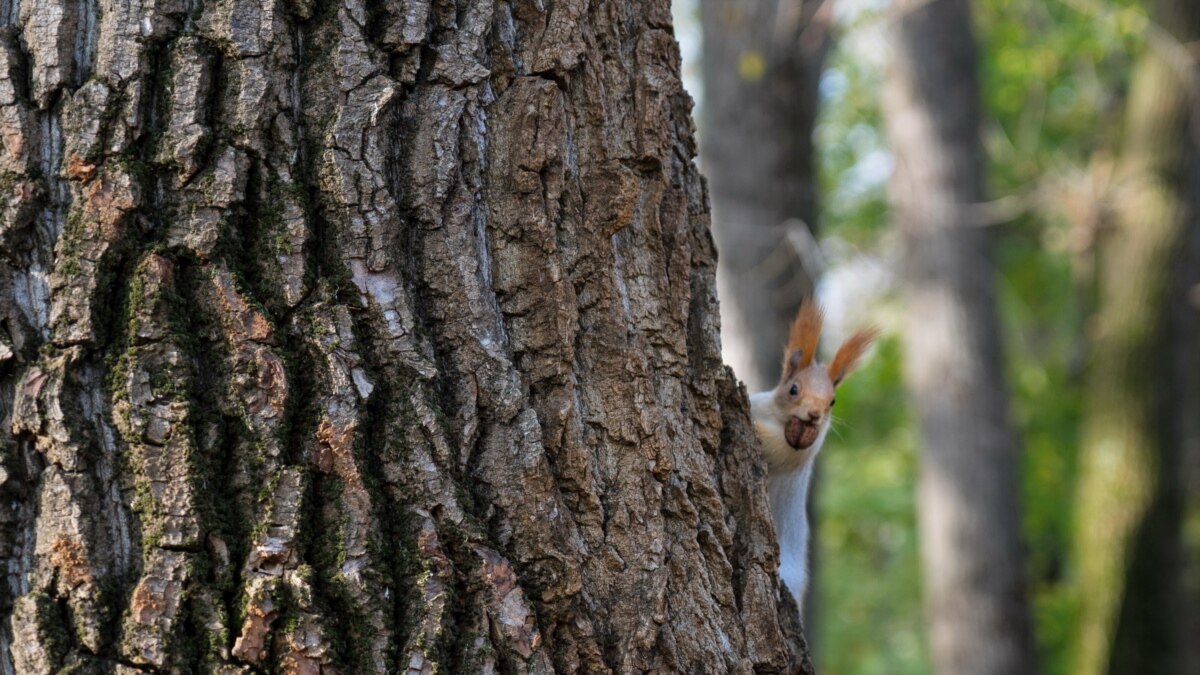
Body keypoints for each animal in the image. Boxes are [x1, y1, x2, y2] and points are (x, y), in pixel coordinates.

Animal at [753, 296, 878, 607]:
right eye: (793, 389)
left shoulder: (794, 453)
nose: (814, 416)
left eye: (832, 401)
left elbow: (769, 444)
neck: (778, 420)